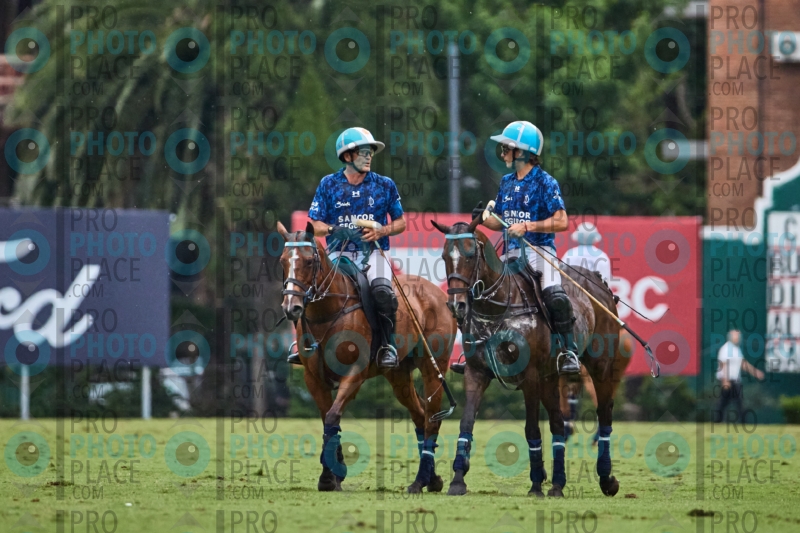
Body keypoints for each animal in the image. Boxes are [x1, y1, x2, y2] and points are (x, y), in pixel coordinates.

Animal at [277, 221, 457, 493]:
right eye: (283, 261)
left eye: (309, 261)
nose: (292, 308)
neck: (327, 312)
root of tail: (438, 292)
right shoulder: (312, 377)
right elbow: (328, 418)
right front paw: (334, 473)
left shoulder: (355, 373)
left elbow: (332, 416)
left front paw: (330, 475)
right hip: (398, 374)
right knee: (420, 414)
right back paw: (432, 478)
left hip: (433, 365)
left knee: (432, 419)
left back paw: (420, 481)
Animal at [433, 217, 628, 497]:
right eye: (445, 256)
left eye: (470, 255)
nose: (456, 305)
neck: (497, 307)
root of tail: (599, 281)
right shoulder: (476, 371)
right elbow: (466, 423)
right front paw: (458, 480)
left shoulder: (530, 376)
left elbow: (532, 428)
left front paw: (535, 484)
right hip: (551, 376)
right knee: (558, 422)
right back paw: (557, 484)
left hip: (600, 365)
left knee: (604, 413)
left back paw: (606, 478)